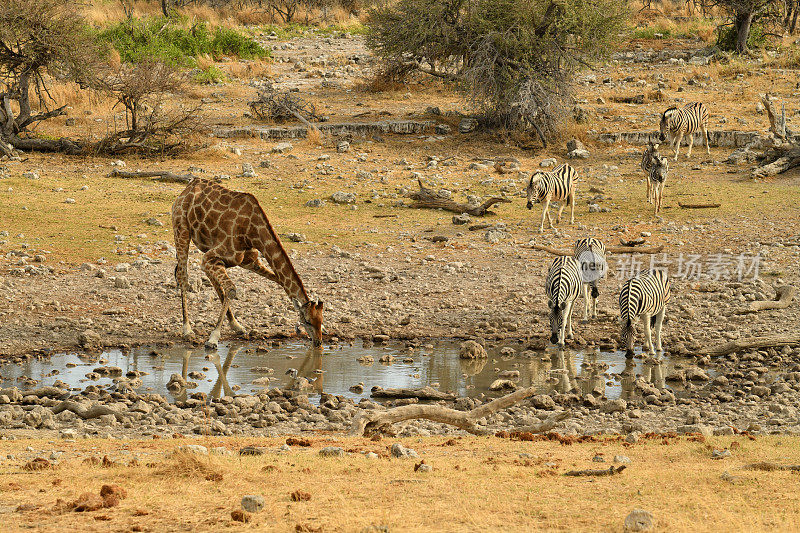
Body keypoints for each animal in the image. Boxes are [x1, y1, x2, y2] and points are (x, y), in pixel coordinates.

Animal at [173, 177, 324, 348]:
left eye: (320, 320)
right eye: (308, 321)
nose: (318, 342)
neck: (252, 233)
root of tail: (187, 188)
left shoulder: (250, 261)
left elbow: (280, 281)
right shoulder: (211, 257)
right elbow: (232, 290)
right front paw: (213, 338)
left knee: (209, 279)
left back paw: (237, 326)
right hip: (181, 230)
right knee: (183, 277)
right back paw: (187, 329)